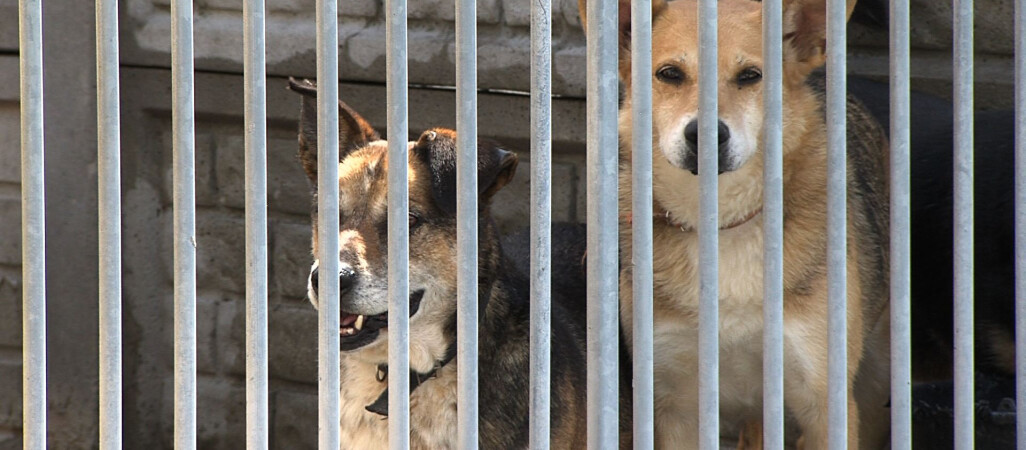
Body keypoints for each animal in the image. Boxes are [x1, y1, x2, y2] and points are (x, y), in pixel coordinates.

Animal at [578, 0, 890, 448]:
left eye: (749, 77)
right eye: (670, 74)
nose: (706, 135)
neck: (723, 224)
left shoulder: (823, 404)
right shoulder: (674, 405)